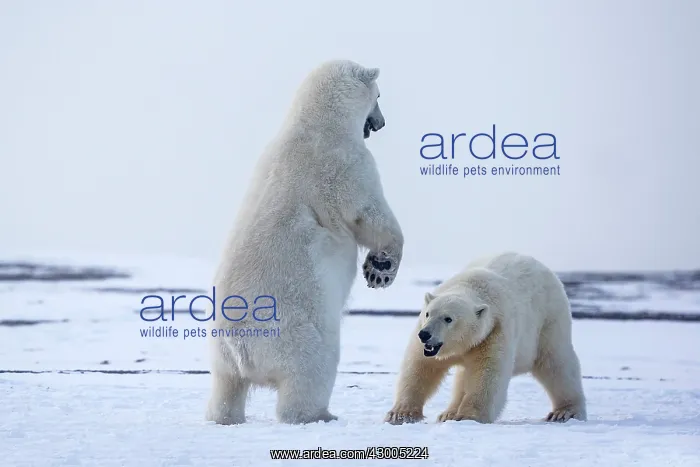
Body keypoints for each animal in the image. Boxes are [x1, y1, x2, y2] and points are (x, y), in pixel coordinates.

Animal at [205, 60, 404, 425]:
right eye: (379, 96)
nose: (381, 123)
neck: (316, 124)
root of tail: (240, 345)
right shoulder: (345, 165)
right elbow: (370, 215)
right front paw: (380, 269)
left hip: (219, 353)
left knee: (225, 387)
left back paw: (224, 416)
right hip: (297, 334)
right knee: (311, 373)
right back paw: (320, 415)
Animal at [384, 251, 587, 425]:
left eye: (448, 318)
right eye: (428, 313)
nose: (425, 334)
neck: (473, 285)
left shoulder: (493, 331)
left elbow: (486, 374)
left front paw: (468, 417)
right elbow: (420, 367)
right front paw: (400, 414)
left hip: (548, 321)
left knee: (557, 364)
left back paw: (565, 412)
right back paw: (448, 413)